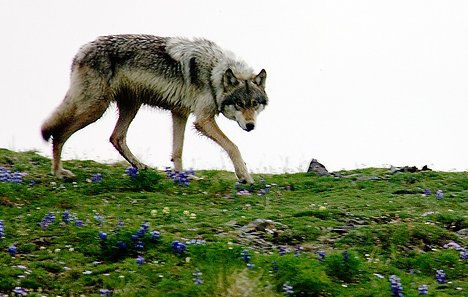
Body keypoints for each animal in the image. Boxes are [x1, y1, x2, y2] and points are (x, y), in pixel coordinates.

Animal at [42, 34, 268, 183]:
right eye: (239, 104)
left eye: (254, 104)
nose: (250, 126)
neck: (214, 73)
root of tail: (81, 50)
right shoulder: (203, 120)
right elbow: (233, 146)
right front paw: (245, 176)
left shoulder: (180, 113)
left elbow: (177, 151)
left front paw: (181, 177)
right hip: (95, 109)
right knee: (59, 134)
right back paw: (58, 172)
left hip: (130, 106)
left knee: (116, 137)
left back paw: (140, 166)